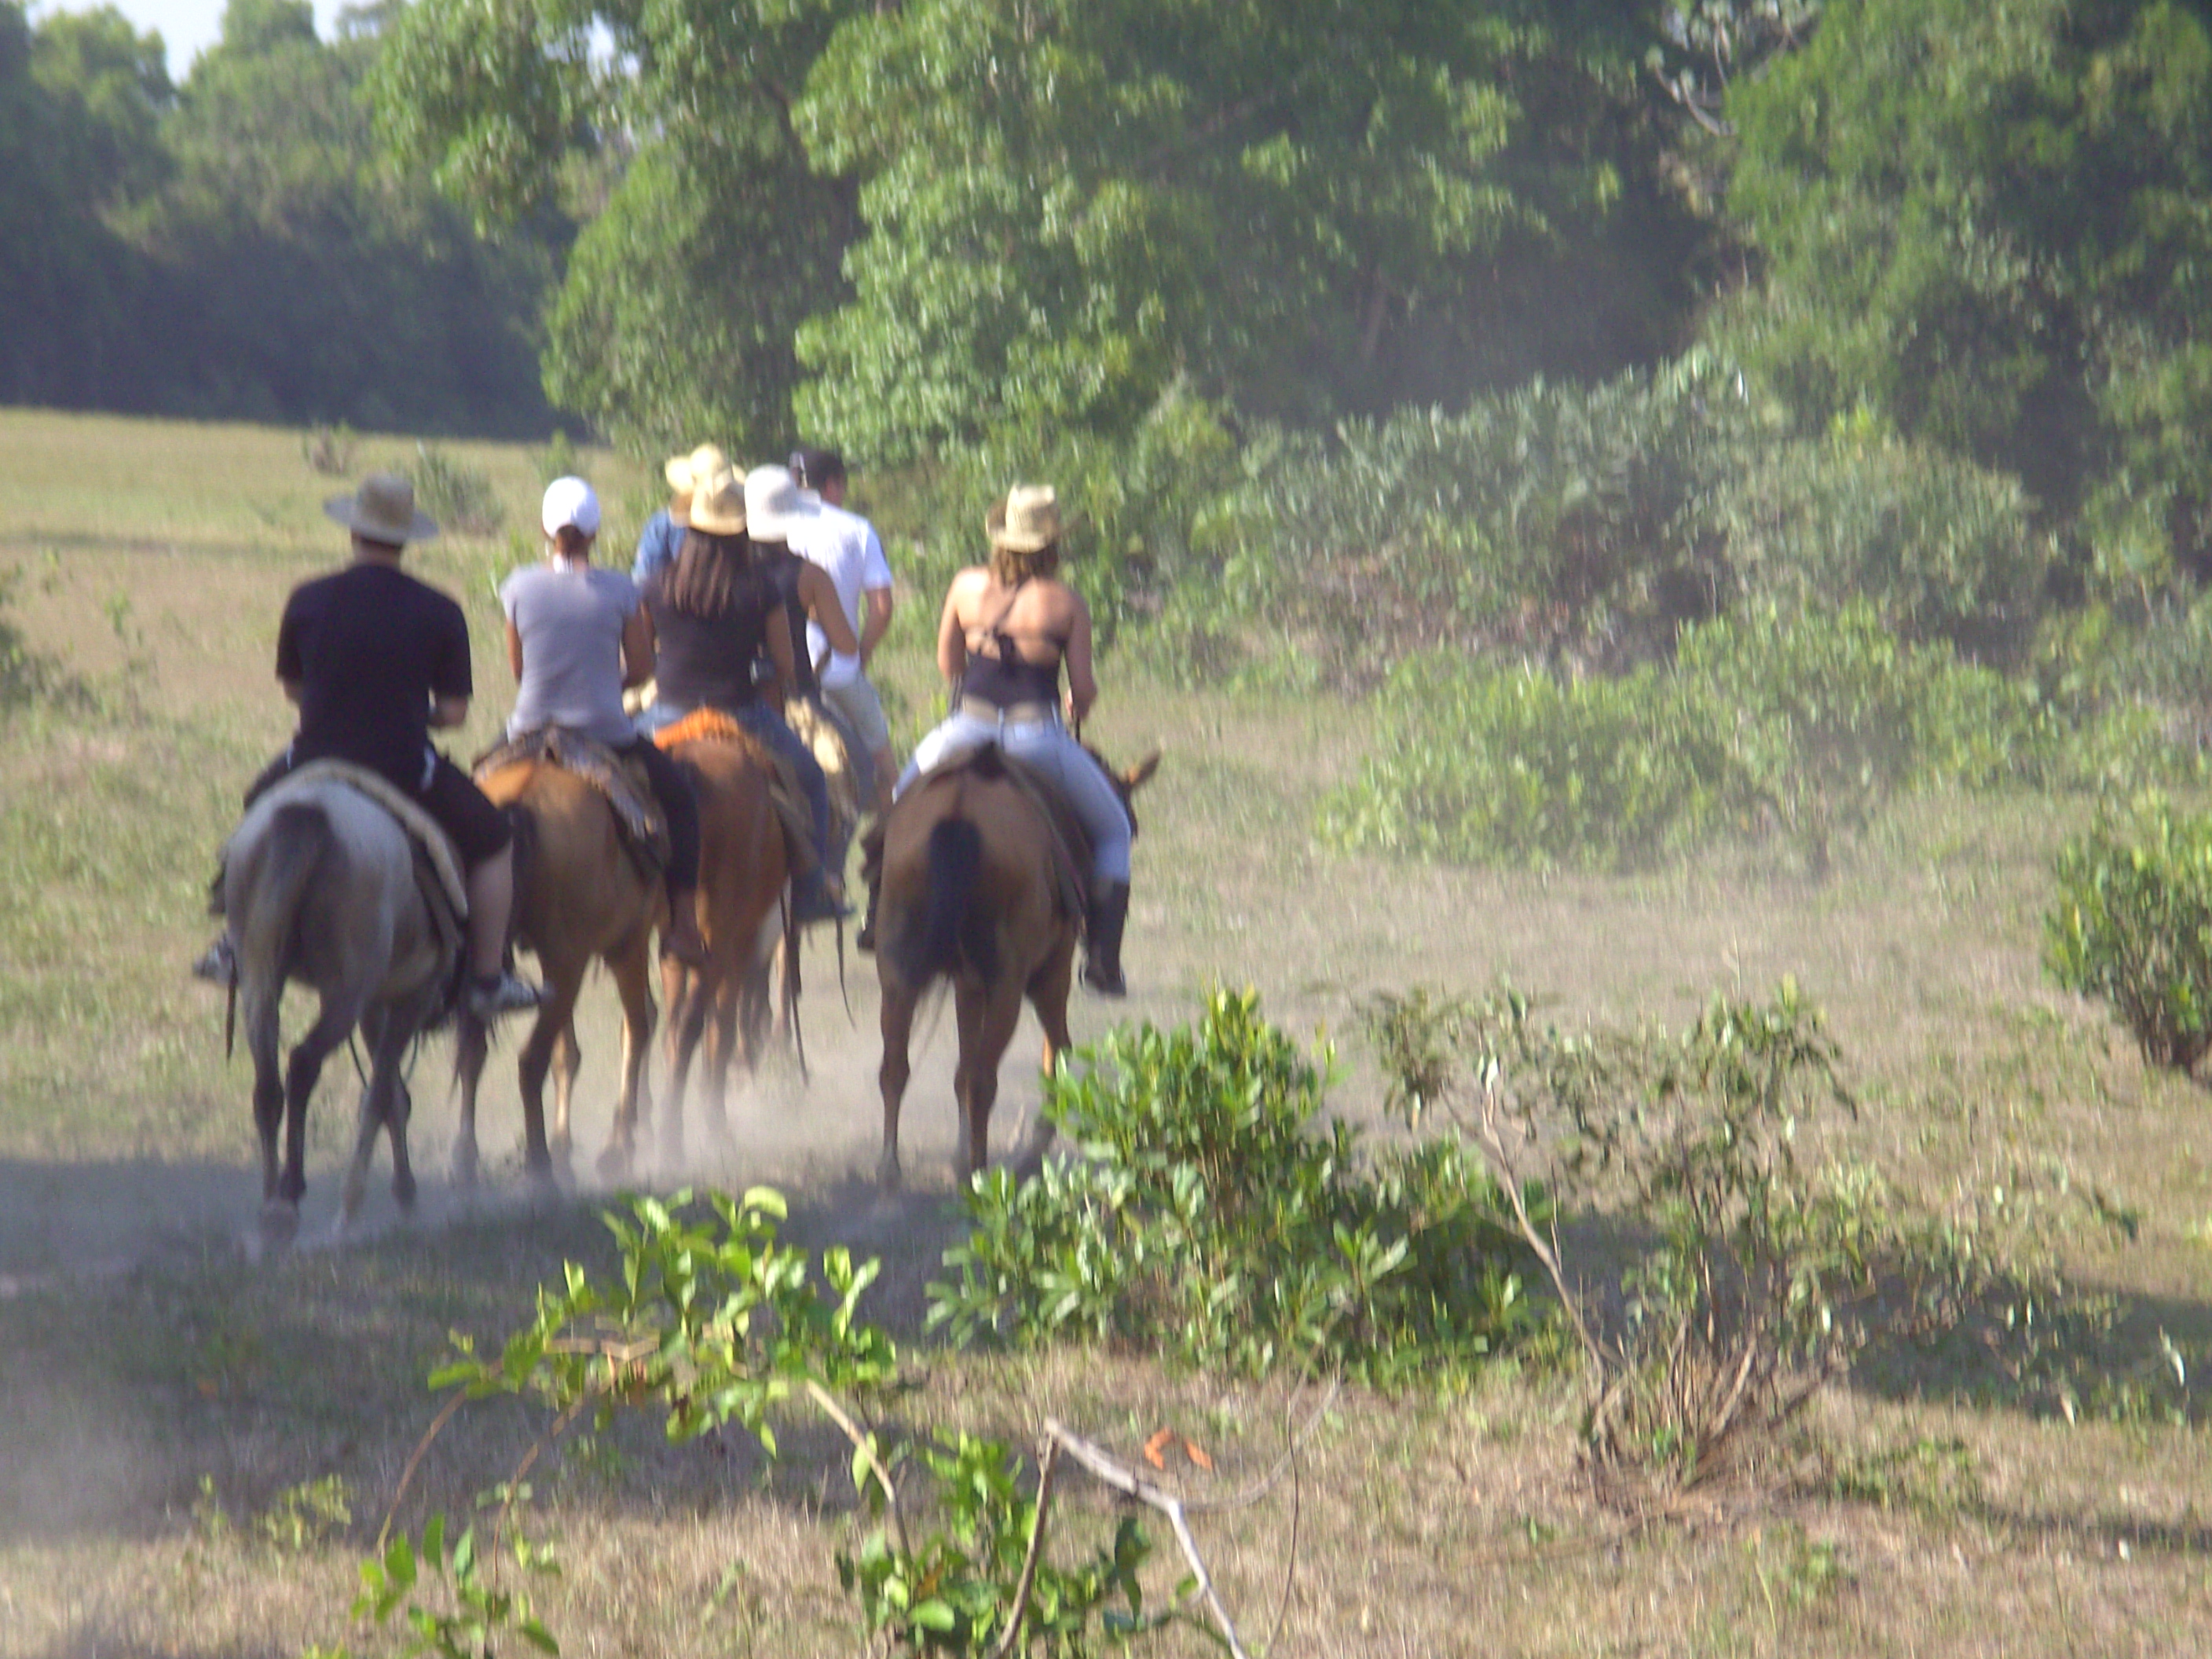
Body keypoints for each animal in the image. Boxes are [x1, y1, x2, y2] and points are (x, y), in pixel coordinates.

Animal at [222, 774, 451, 1238]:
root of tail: (307, 814)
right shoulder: (408, 998)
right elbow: (382, 1095)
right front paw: (365, 1204)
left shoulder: (374, 1007)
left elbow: (393, 1097)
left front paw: (404, 1193)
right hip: (347, 993)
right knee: (303, 1063)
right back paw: (291, 1195)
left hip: (260, 979)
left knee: (268, 1085)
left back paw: (271, 1206)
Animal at [446, 760, 654, 1185]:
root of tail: (520, 797)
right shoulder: (628, 944)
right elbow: (636, 1033)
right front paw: (617, 1147)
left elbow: (568, 1054)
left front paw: (567, 1148)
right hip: (570, 959)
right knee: (530, 1060)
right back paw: (540, 1170)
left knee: (473, 1052)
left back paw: (465, 1158)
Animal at [876, 747, 1167, 1185]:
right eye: (1131, 828)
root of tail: (960, 812)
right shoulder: (1051, 973)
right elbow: (1056, 1050)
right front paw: (1031, 1151)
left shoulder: (968, 984)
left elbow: (962, 1066)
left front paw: (960, 1154)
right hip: (1009, 988)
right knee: (984, 1080)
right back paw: (980, 1177)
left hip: (898, 976)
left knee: (897, 1067)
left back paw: (891, 1168)